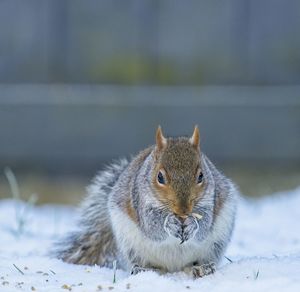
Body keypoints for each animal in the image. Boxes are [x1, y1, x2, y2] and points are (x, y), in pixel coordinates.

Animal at [53, 126, 237, 278]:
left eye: (201, 176)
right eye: (160, 177)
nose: (183, 210)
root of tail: (173, 268)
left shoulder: (211, 199)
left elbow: (205, 224)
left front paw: (193, 224)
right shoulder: (140, 200)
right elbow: (152, 227)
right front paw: (169, 223)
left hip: (216, 243)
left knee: (200, 260)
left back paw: (202, 268)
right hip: (131, 245)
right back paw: (144, 269)